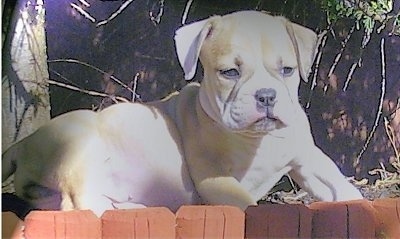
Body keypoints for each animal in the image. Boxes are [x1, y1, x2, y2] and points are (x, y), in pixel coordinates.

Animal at [0, 10, 362, 217]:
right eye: (229, 72)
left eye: (287, 70)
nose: (267, 96)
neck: (258, 139)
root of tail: (20, 146)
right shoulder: (216, 180)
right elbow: (247, 204)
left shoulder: (308, 160)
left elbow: (341, 187)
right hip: (79, 144)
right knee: (79, 205)